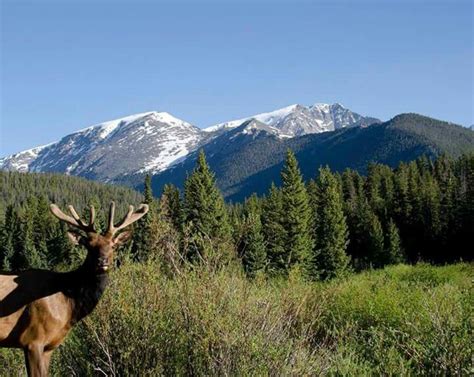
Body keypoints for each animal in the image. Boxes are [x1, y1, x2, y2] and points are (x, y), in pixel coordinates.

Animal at [0, 203, 148, 376]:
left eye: (113, 245)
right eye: (90, 246)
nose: (102, 261)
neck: (68, 306)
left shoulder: (49, 346)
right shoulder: (32, 339)